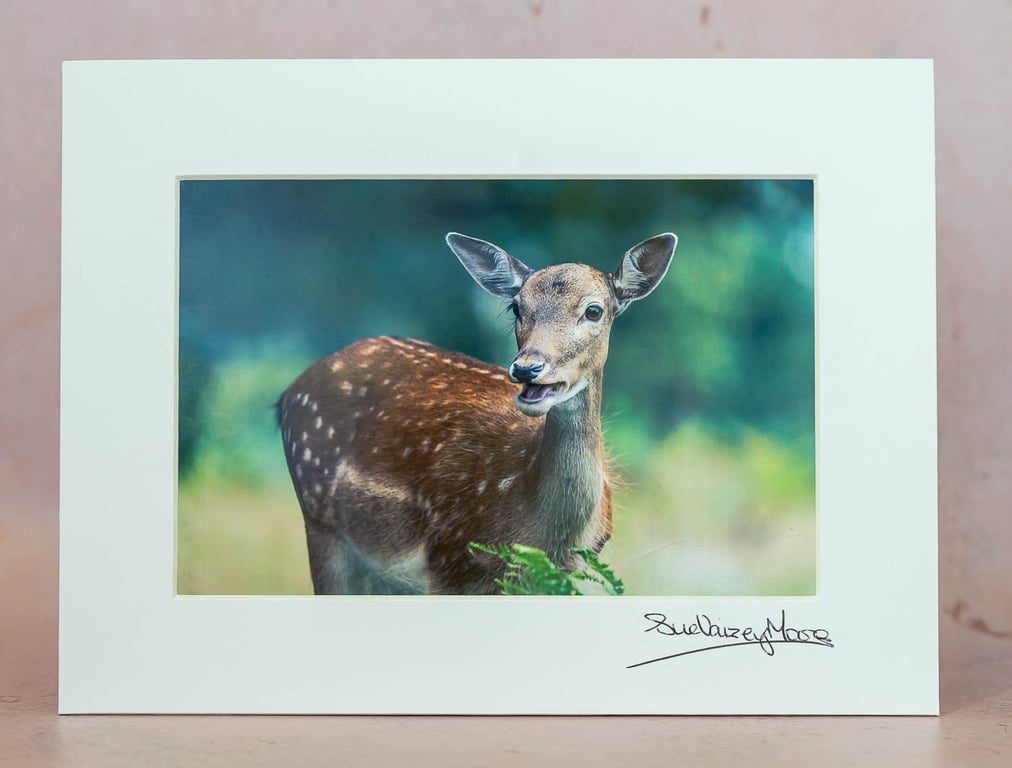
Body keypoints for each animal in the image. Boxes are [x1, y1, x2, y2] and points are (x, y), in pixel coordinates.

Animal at [278, 231, 677, 595]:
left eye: (593, 310)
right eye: (516, 307)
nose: (527, 368)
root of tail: (288, 394)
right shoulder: (448, 560)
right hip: (321, 524)